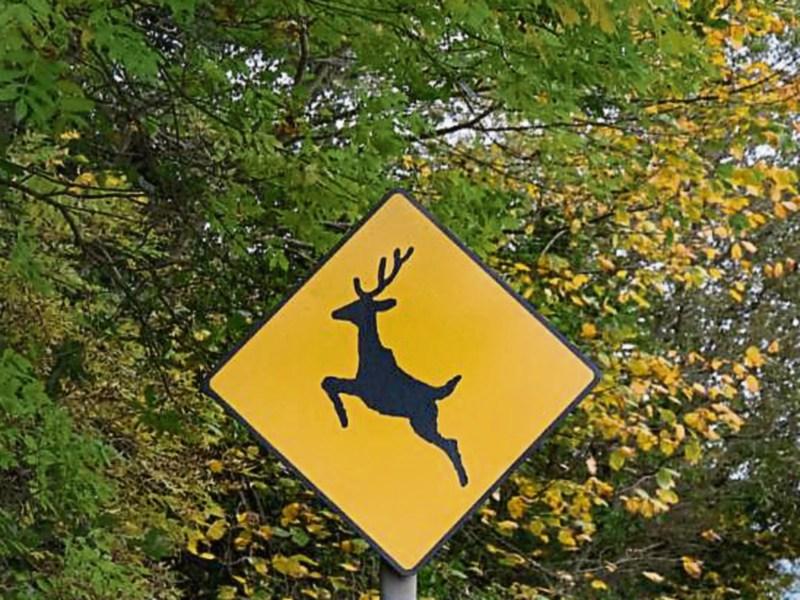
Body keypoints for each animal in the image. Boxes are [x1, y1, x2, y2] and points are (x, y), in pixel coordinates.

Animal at [321, 247, 469, 487]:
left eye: (356, 304)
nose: (335, 312)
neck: (367, 355)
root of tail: (436, 393)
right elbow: (328, 381)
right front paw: (343, 416)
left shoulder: (363, 389)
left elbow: (328, 382)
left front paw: (343, 417)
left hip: (423, 422)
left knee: (450, 443)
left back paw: (463, 480)